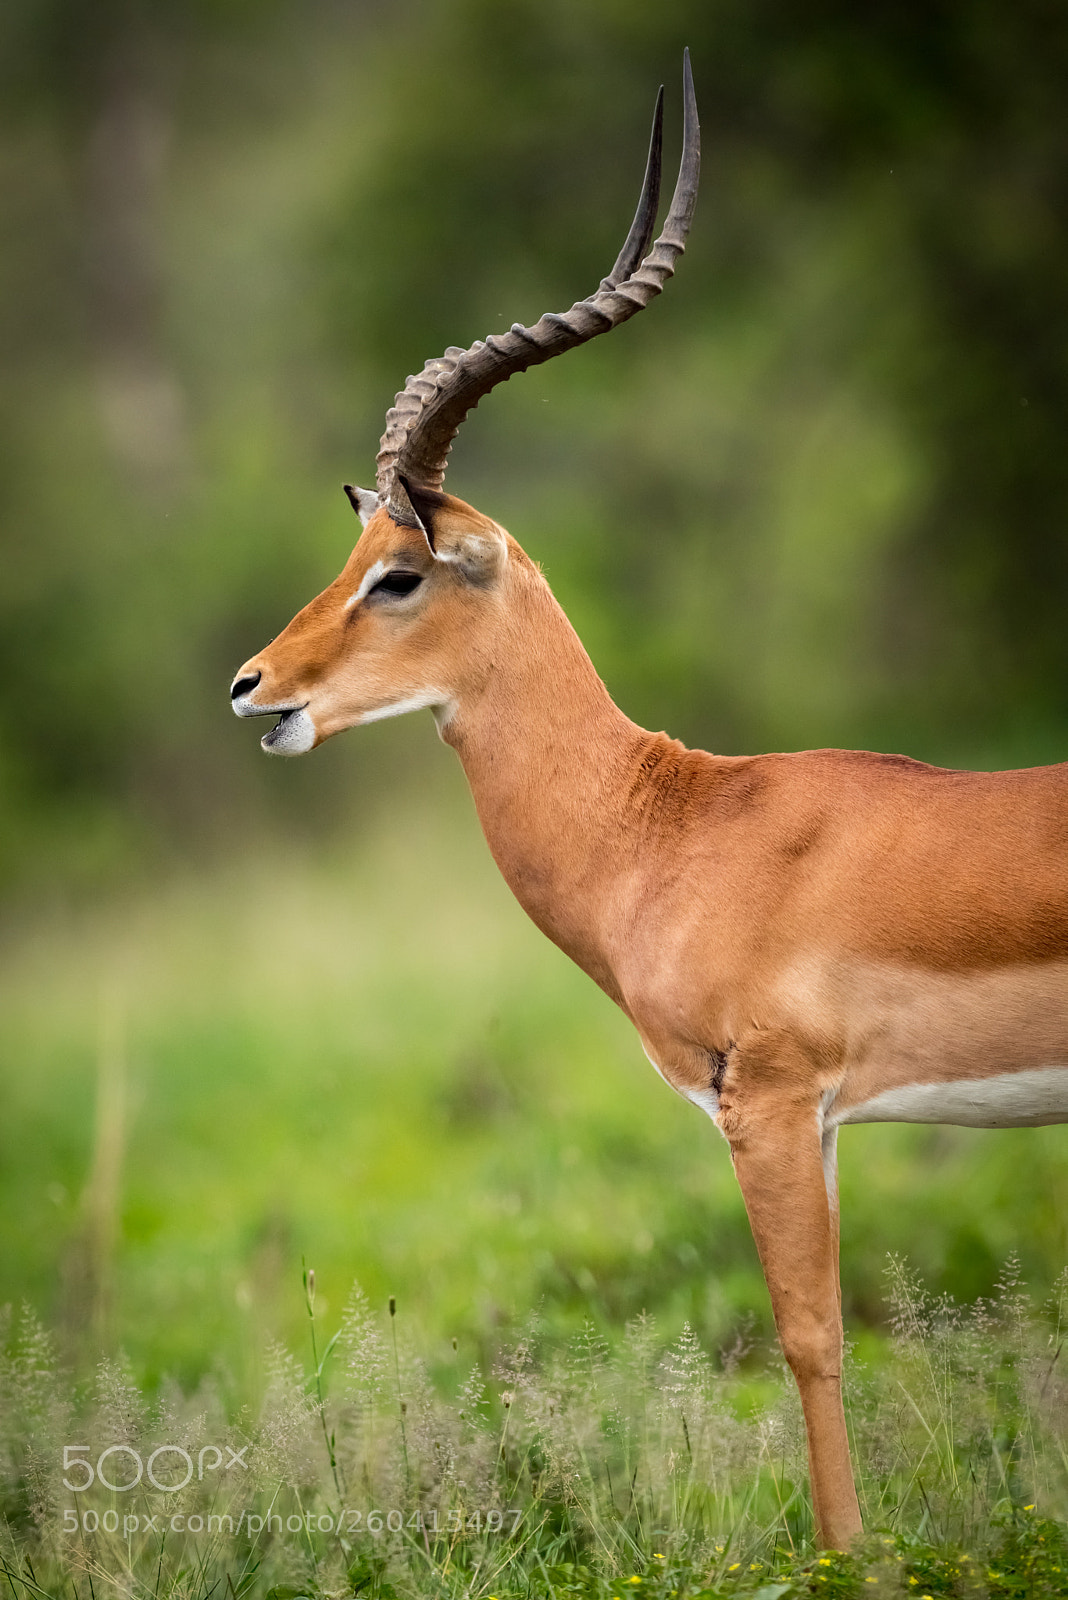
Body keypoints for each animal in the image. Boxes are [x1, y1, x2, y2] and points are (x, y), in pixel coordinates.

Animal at [230, 52, 1068, 1548]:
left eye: (401, 570)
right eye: (351, 550)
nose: (252, 685)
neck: (674, 827)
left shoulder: (773, 1102)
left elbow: (811, 1338)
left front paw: (848, 1560)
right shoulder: (815, 1122)